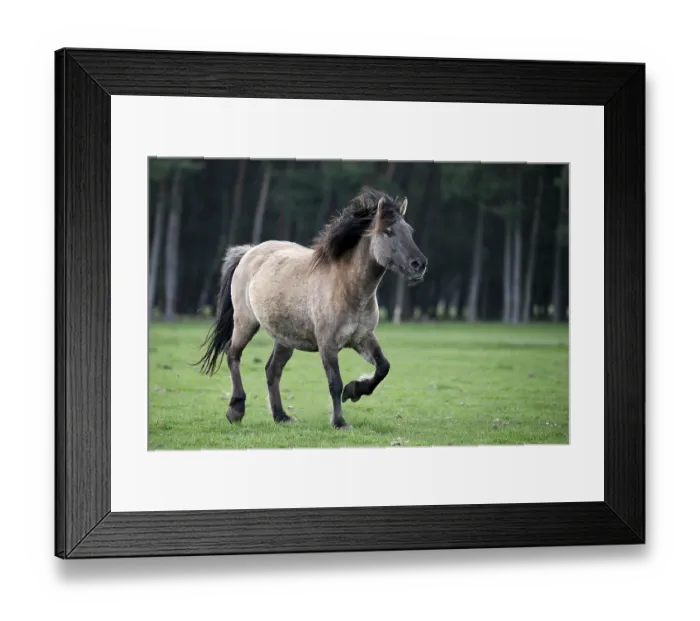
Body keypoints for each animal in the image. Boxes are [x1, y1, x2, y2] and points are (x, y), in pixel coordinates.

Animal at [194, 186, 428, 430]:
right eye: (388, 232)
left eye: (409, 231)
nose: (419, 265)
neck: (347, 287)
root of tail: (249, 252)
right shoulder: (327, 343)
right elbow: (335, 382)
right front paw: (340, 421)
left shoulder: (363, 337)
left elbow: (383, 367)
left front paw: (354, 391)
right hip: (245, 322)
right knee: (233, 354)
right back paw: (236, 409)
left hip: (285, 338)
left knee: (272, 370)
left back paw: (281, 416)